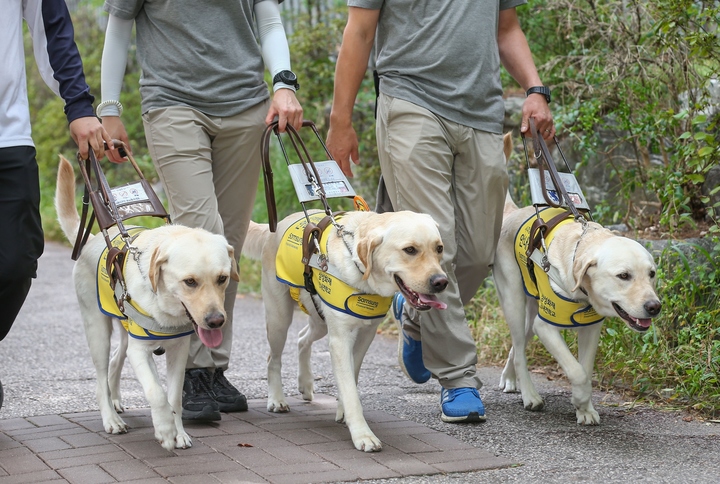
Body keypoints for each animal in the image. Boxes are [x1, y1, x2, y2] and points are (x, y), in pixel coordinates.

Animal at [54, 157, 239, 452]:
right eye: (190, 282)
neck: (165, 307)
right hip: (97, 330)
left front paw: (179, 432)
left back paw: (116, 401)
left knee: (116, 359)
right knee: (100, 376)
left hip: (126, 332)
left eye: (222, 278)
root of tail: (91, 240)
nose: (215, 321)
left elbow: (173, 396)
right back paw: (111, 419)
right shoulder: (140, 351)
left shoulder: (177, 350)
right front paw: (164, 430)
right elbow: (156, 391)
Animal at [242, 210, 448, 452]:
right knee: (273, 358)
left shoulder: (366, 335)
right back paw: (276, 399)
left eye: (439, 248)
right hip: (279, 318)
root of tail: (278, 225)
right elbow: (350, 389)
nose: (441, 282)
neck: (363, 277)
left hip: (320, 320)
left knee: (302, 339)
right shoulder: (340, 340)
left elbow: (352, 375)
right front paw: (362, 434)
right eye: (410, 250)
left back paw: (305, 383)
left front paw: (341, 409)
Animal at [492, 135, 660, 424]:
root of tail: (513, 212)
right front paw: (580, 400)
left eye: (651, 274)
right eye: (623, 276)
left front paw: (586, 409)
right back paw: (529, 395)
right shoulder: (546, 326)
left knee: (518, 344)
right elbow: (577, 371)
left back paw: (509, 379)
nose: (654, 307)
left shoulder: (591, 328)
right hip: (514, 300)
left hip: (531, 309)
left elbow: (586, 368)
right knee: (519, 348)